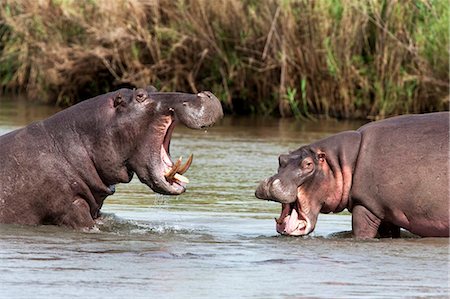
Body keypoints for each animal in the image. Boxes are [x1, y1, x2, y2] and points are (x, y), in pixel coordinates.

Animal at [256, 112, 450, 239]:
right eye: (281, 159)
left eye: (308, 164)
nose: (271, 183)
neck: (340, 162)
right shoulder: (385, 212)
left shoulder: (366, 206)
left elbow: (361, 232)